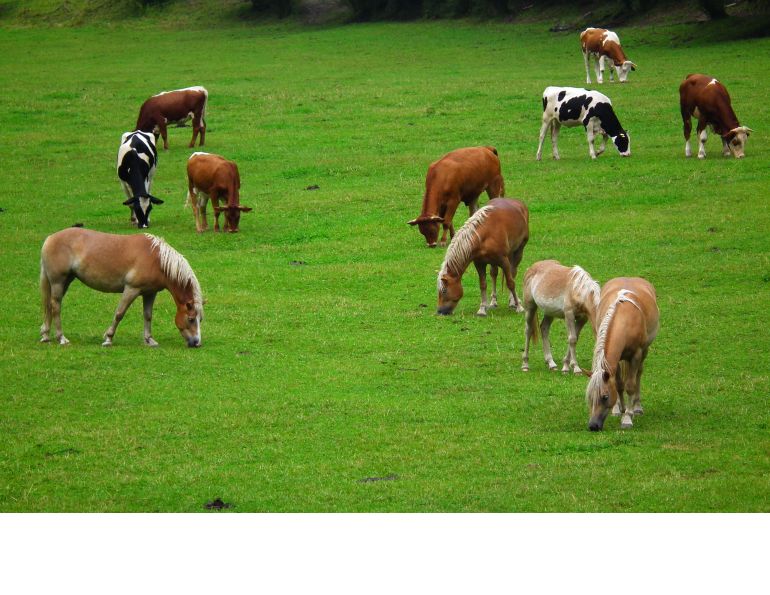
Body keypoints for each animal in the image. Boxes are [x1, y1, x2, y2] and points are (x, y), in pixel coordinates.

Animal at [39, 227, 203, 348]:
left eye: (199, 320)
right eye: (190, 319)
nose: (197, 343)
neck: (157, 260)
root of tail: (50, 238)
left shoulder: (150, 293)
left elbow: (148, 315)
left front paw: (149, 340)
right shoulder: (131, 289)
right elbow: (119, 313)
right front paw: (108, 338)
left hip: (65, 281)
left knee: (50, 305)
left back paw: (46, 335)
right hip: (58, 282)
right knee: (55, 306)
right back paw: (61, 338)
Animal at [585, 277, 659, 431]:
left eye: (605, 397)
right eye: (590, 397)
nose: (593, 425)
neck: (624, 319)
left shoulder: (636, 355)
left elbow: (630, 385)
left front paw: (627, 417)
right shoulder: (616, 360)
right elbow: (619, 384)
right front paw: (621, 409)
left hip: (644, 352)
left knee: (638, 374)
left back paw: (637, 407)